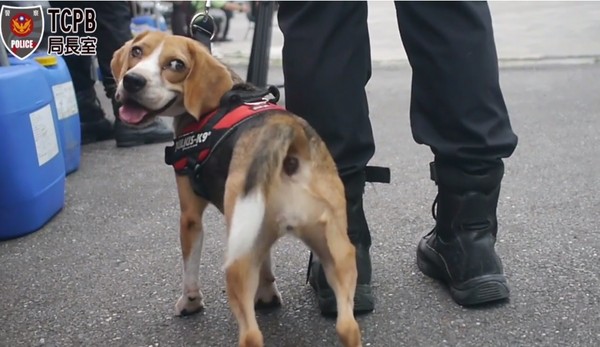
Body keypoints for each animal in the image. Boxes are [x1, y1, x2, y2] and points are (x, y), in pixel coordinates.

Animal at [110, 30, 364, 347]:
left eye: (176, 65)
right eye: (137, 51)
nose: (133, 81)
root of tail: (285, 133)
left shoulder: (190, 218)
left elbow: (189, 267)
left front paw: (190, 302)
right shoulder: (256, 233)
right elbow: (266, 265)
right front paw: (267, 295)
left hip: (236, 262)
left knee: (251, 335)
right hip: (337, 253)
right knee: (348, 326)